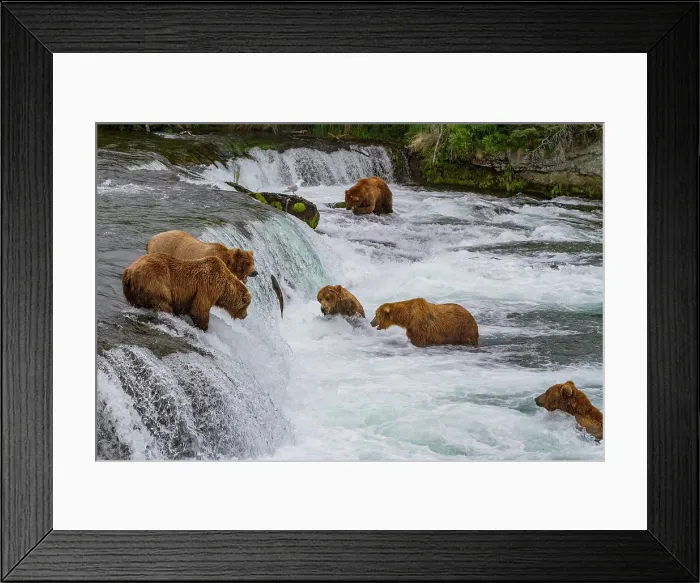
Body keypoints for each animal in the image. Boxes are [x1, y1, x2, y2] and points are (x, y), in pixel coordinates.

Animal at [122, 253, 251, 332]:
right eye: (246, 305)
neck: (223, 287)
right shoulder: (207, 287)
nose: (245, 315)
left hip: (131, 292)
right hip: (155, 282)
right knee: (163, 302)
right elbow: (199, 310)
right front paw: (204, 327)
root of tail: (129, 271)